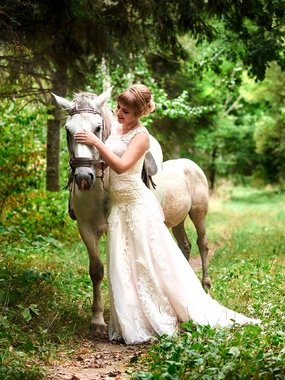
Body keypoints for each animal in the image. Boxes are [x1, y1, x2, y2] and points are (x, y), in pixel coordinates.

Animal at [52, 87, 210, 332]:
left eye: (97, 128)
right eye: (68, 130)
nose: (84, 177)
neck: (100, 188)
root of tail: (189, 164)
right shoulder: (86, 228)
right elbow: (96, 270)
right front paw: (97, 319)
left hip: (198, 215)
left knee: (203, 244)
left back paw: (205, 288)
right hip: (177, 222)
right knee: (184, 245)